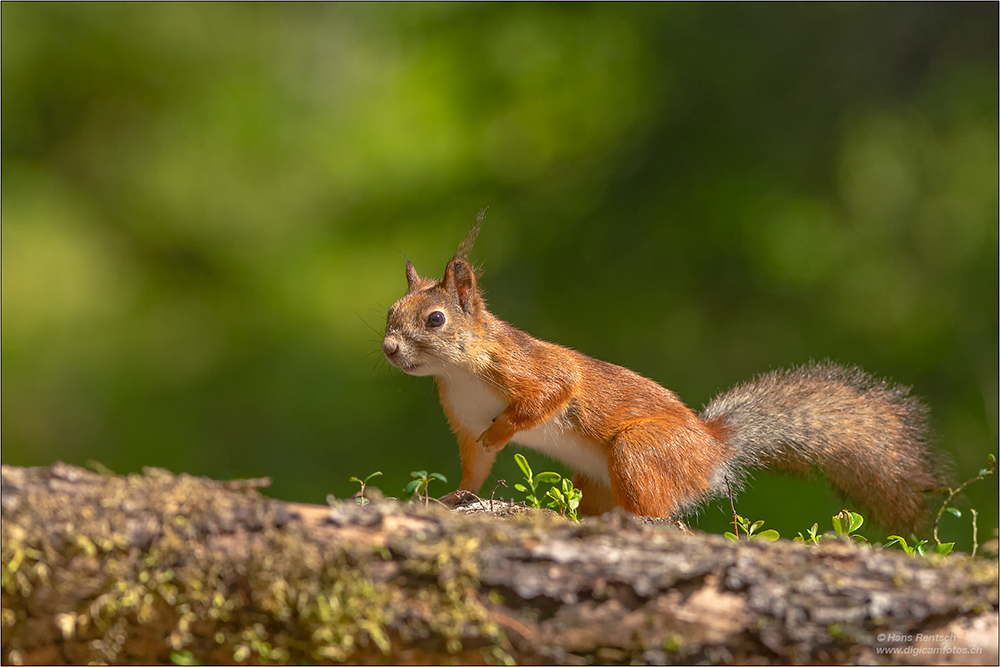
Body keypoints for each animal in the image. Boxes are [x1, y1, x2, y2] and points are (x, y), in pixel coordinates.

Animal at [378, 230, 940, 532]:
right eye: (390, 311)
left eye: (435, 320)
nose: (388, 349)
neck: (458, 373)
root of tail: (712, 451)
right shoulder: (463, 415)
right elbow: (474, 466)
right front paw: (452, 499)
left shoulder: (528, 366)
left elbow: (552, 392)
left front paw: (503, 431)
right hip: (597, 478)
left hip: (643, 451)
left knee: (656, 511)